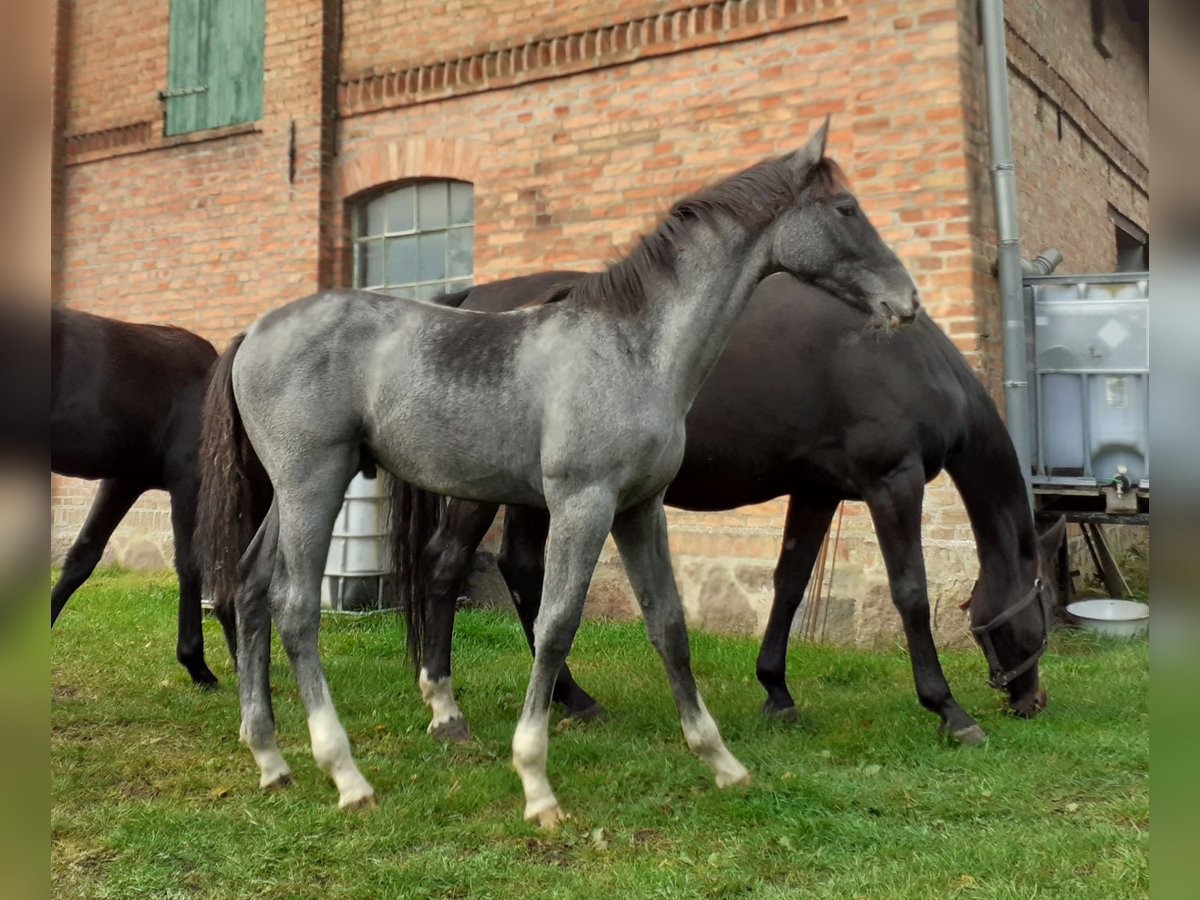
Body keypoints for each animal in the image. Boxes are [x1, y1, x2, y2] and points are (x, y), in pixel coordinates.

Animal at [194, 123, 916, 830]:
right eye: (846, 208)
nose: (907, 300)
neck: (634, 349)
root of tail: (253, 332)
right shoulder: (582, 504)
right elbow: (557, 624)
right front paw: (537, 784)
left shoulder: (641, 509)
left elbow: (669, 625)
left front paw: (721, 762)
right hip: (314, 483)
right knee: (293, 607)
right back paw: (346, 775)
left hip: (290, 494)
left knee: (252, 589)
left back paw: (271, 759)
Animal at [393, 270, 1060, 748]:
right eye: (1041, 611)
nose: (1032, 701)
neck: (904, 355)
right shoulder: (892, 482)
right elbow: (910, 593)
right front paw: (948, 709)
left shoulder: (817, 492)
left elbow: (790, 584)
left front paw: (777, 692)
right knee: (448, 566)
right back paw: (451, 715)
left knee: (524, 571)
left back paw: (571, 698)